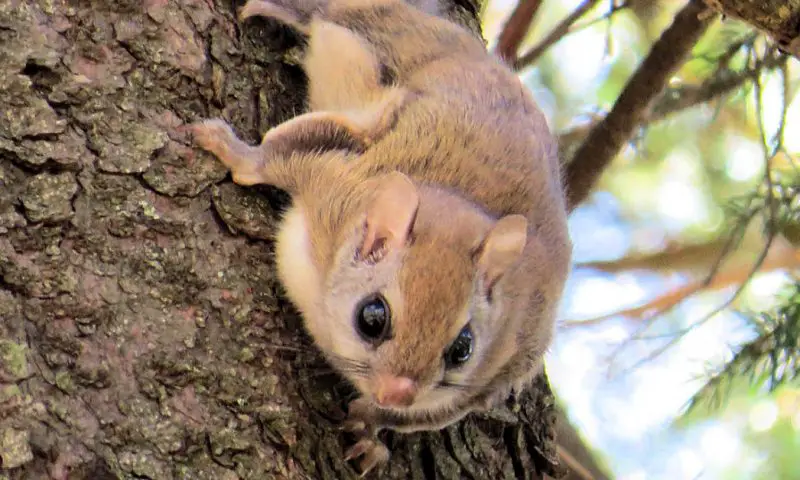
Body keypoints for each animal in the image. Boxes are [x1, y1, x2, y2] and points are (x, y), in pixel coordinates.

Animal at [191, 0, 572, 475]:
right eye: (371, 318)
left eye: (463, 349)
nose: (398, 392)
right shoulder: (333, 178)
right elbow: (274, 157)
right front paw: (231, 150)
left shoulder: (493, 372)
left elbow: (413, 416)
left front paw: (370, 430)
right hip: (375, 37)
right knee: (333, 15)